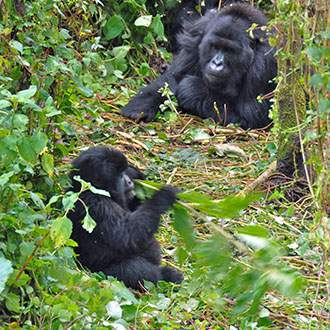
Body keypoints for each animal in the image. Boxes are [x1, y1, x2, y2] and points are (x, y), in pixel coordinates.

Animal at [68, 146, 183, 288]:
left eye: (124, 173)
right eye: (120, 175)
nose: (129, 181)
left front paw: (139, 178)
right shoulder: (97, 206)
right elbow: (128, 236)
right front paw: (163, 196)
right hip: (100, 273)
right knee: (132, 269)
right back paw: (166, 276)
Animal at [121, 4, 276, 130]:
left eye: (230, 51)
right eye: (214, 46)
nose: (217, 63)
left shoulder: (264, 62)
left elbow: (249, 116)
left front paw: (192, 90)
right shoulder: (197, 32)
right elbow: (173, 77)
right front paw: (140, 107)